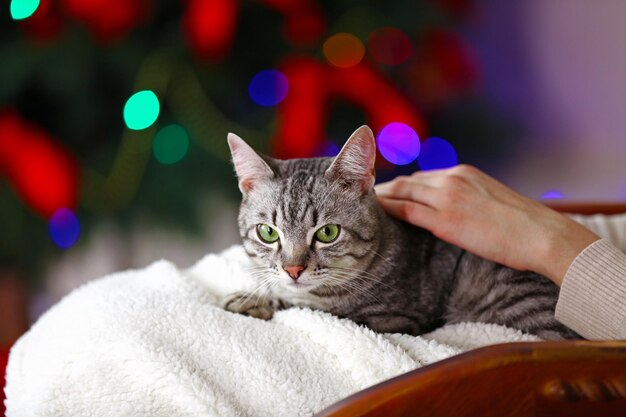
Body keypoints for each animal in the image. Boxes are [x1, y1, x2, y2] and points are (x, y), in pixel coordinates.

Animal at [222, 125, 576, 340]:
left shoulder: (392, 321)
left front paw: (254, 301)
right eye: (268, 233)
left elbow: (307, 308)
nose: (293, 270)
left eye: (328, 233)